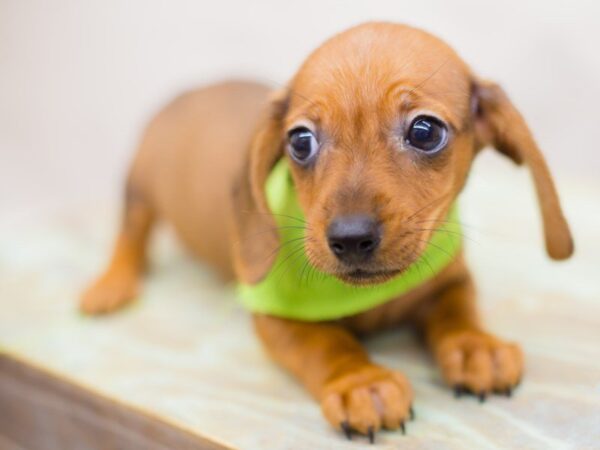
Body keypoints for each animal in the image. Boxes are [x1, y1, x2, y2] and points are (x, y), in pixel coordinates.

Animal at [79, 22, 572, 442]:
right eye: (300, 141)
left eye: (425, 131)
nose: (350, 239)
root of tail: (194, 89)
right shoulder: (274, 315)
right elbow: (324, 342)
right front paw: (361, 382)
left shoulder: (450, 279)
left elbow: (458, 310)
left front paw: (474, 347)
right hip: (139, 185)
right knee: (131, 232)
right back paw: (111, 283)